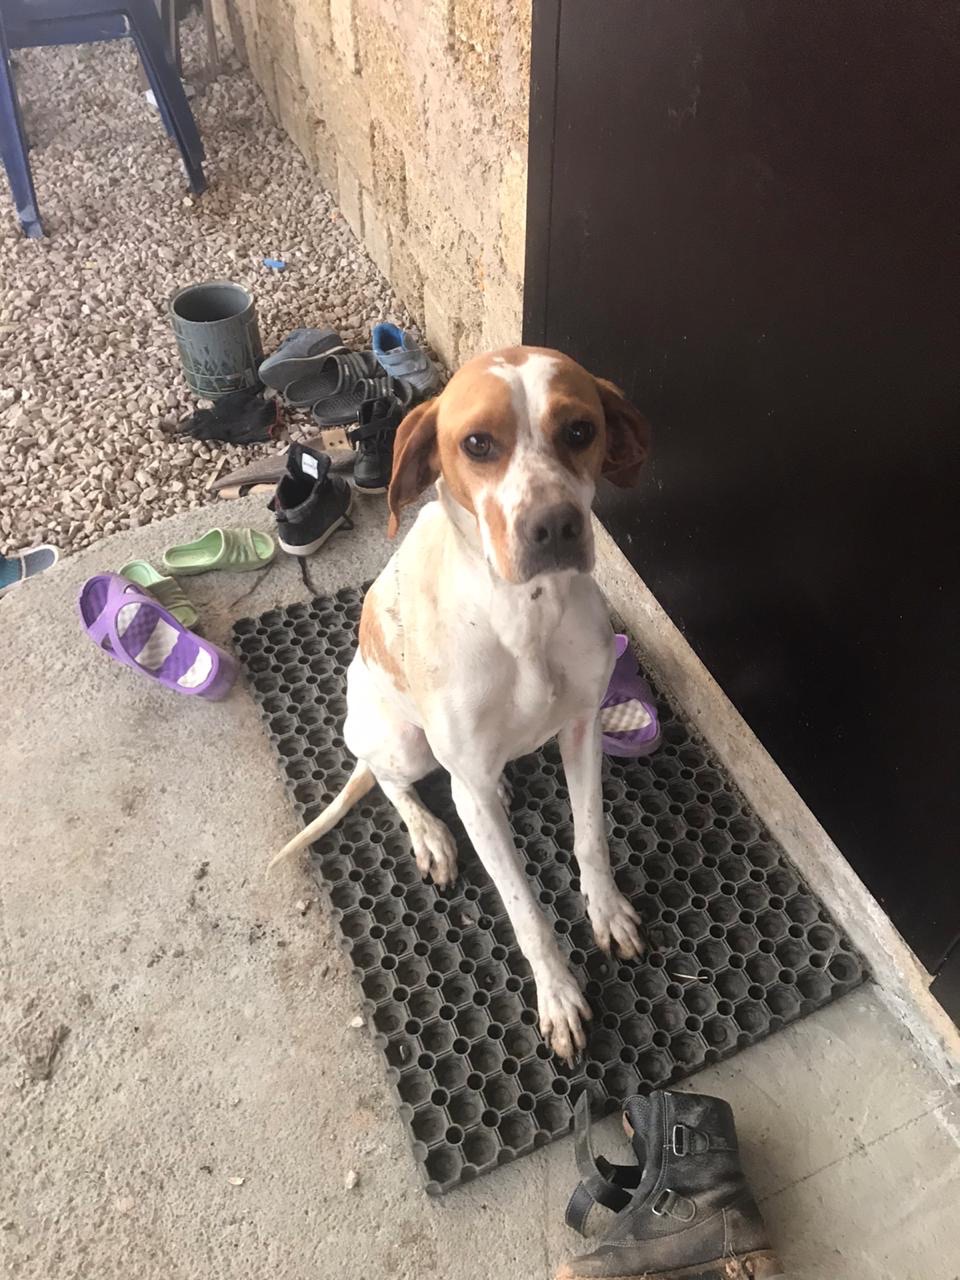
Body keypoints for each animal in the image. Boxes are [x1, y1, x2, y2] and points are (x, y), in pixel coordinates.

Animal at [272, 346, 651, 1060]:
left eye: (580, 430)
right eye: (477, 443)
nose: (554, 525)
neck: (525, 615)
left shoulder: (583, 730)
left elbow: (590, 837)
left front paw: (607, 912)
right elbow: (525, 909)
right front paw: (558, 995)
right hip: (402, 744)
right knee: (391, 781)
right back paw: (430, 834)